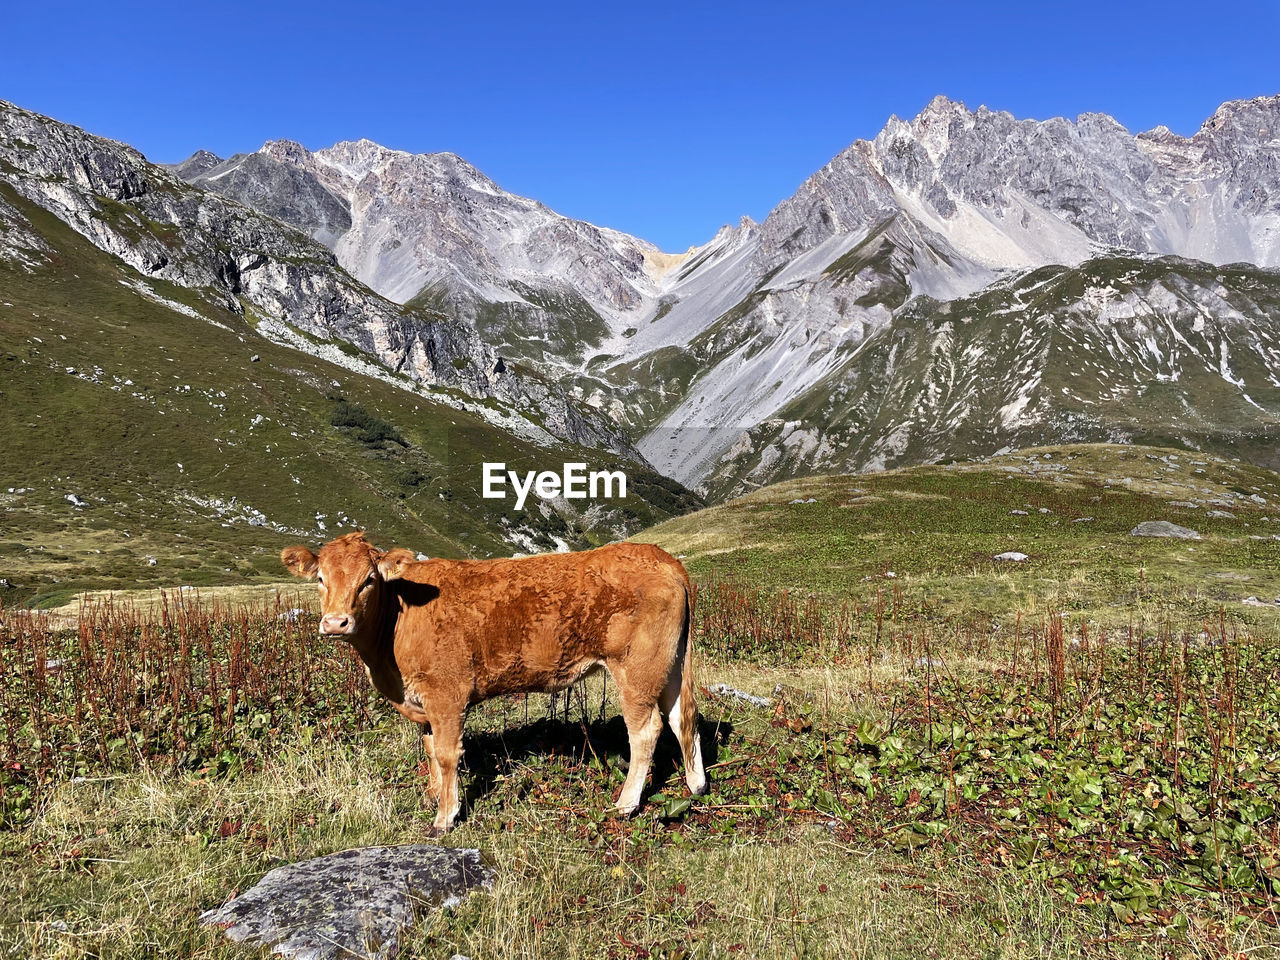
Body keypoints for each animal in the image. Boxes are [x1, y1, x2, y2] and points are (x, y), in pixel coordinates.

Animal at [277, 535, 711, 834]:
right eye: (320, 578)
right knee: (682, 718)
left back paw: (626, 803)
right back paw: (696, 785)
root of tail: (663, 558)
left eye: (368, 580)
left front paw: (445, 817)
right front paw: (434, 793)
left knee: (646, 730)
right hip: (669, 665)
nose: (336, 622)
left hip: (636, 670)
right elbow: (429, 748)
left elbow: (447, 754)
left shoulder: (446, 693)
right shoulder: (422, 702)